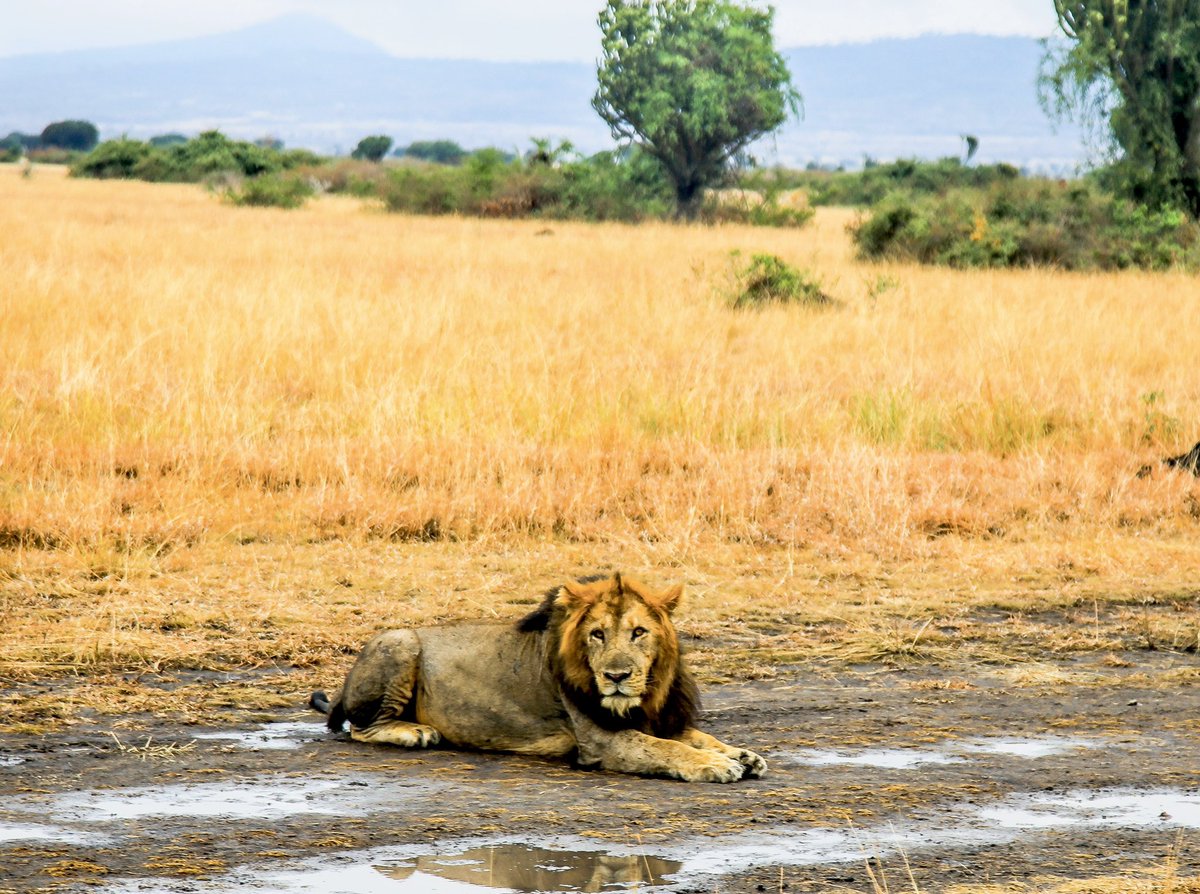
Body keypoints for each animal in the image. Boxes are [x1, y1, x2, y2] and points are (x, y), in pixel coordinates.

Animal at [304, 571, 763, 782]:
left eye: (639, 632)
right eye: (597, 634)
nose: (616, 675)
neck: (646, 693)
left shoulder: (658, 717)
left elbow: (693, 736)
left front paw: (741, 754)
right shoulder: (601, 742)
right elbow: (665, 749)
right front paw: (715, 765)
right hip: (399, 641)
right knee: (360, 728)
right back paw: (415, 732)